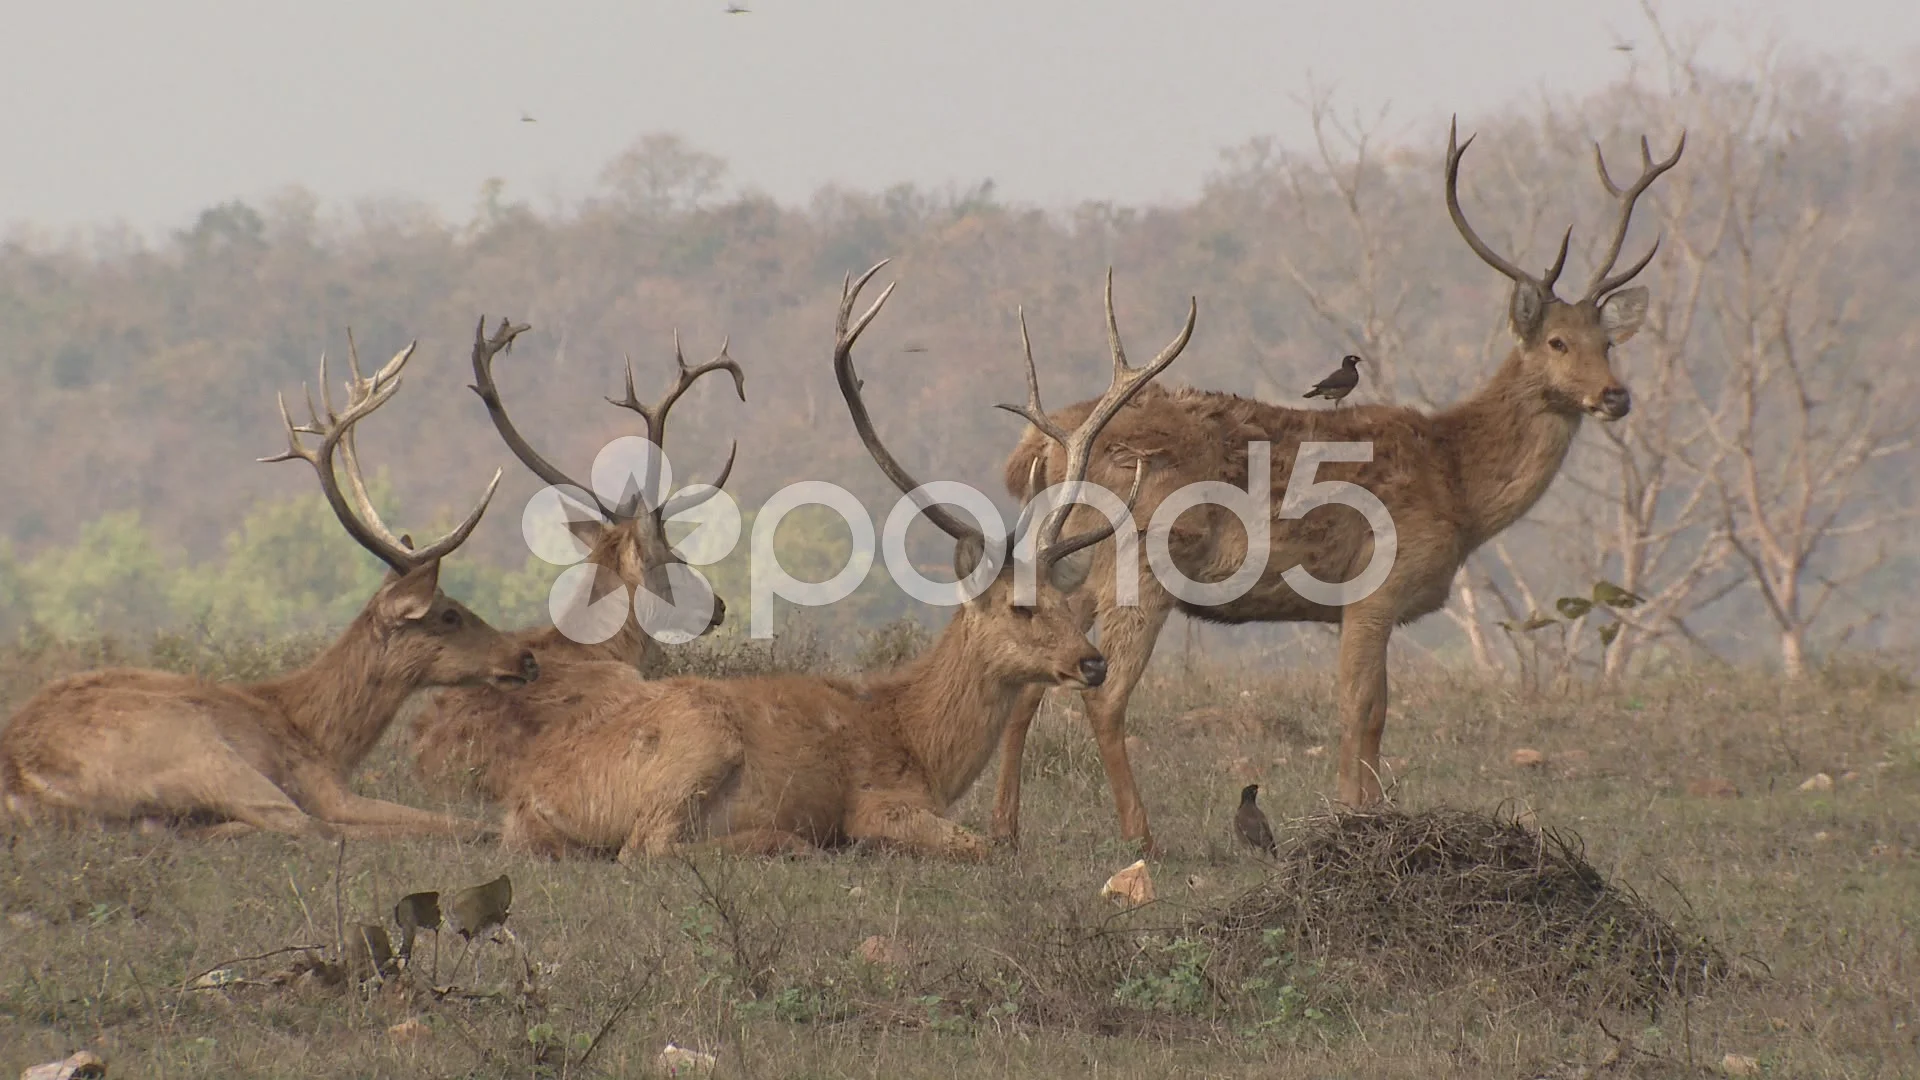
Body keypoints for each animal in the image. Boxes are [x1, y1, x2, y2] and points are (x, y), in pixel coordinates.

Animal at [1, 336, 541, 841]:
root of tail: (22, 781)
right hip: (198, 748)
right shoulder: (320, 783)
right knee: (304, 824)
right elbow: (456, 823)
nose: (526, 659)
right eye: (449, 613)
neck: (320, 737)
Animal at [487, 263, 1190, 857]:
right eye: (1022, 607)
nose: (1093, 662)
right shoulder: (878, 800)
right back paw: (788, 842)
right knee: (647, 847)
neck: (921, 745)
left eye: (1067, 602)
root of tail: (526, 799)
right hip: (698, 742)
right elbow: (991, 849)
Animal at [990, 117, 1681, 849]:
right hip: (1140, 560)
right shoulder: (1376, 585)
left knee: (1032, 680)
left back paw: (1006, 829)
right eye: (1556, 341)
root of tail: (1042, 443)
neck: (1457, 484)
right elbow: (1364, 708)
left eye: (1609, 343)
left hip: (1074, 565)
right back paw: (1140, 836)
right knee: (1103, 694)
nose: (1616, 396)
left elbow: (1373, 711)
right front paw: (1356, 819)